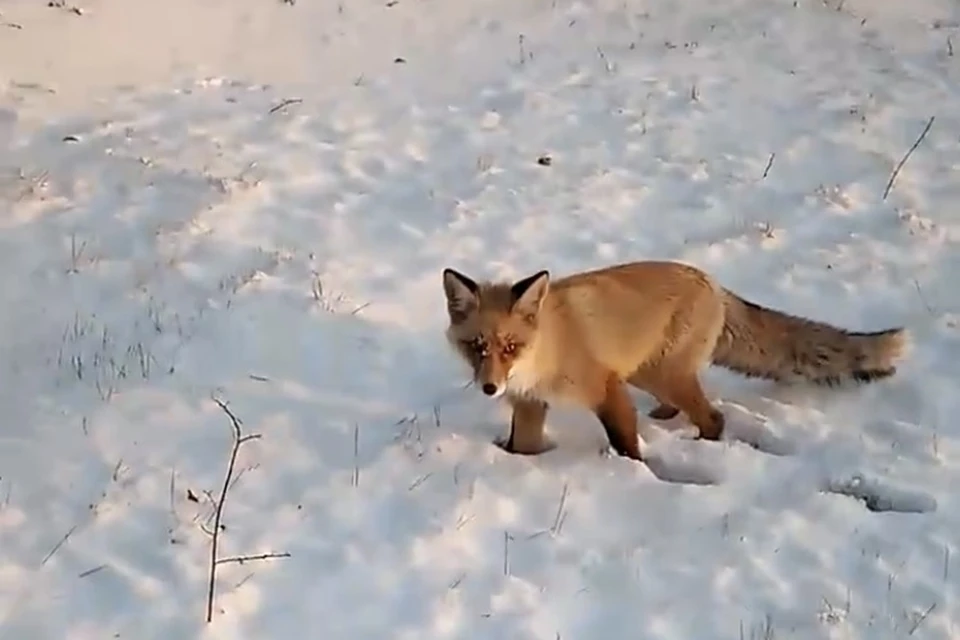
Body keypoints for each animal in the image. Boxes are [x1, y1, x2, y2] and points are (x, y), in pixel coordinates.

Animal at [442, 258, 908, 462]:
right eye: (477, 347)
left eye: (510, 347)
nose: (490, 387)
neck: (548, 351)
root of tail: (713, 282)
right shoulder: (530, 403)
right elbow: (523, 446)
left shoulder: (606, 388)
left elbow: (626, 444)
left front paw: (633, 472)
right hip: (651, 374)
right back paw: (666, 418)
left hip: (659, 374)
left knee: (714, 419)